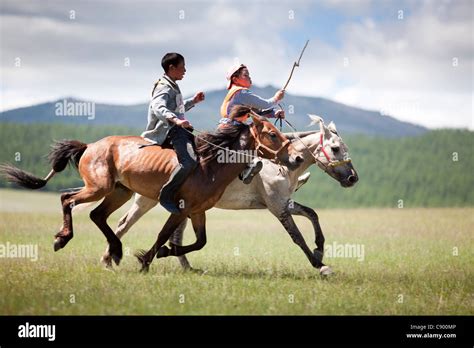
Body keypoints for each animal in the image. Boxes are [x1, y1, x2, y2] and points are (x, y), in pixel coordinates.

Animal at [0, 106, 304, 270]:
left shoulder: (197, 211)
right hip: (98, 187)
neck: (209, 165)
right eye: (272, 134)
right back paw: (63, 238)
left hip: (119, 192)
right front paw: (146, 259)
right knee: (67, 199)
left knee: (97, 215)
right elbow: (164, 234)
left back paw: (115, 251)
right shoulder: (180, 209)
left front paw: (163, 253)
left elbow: (199, 241)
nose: (297, 158)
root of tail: (90, 146)